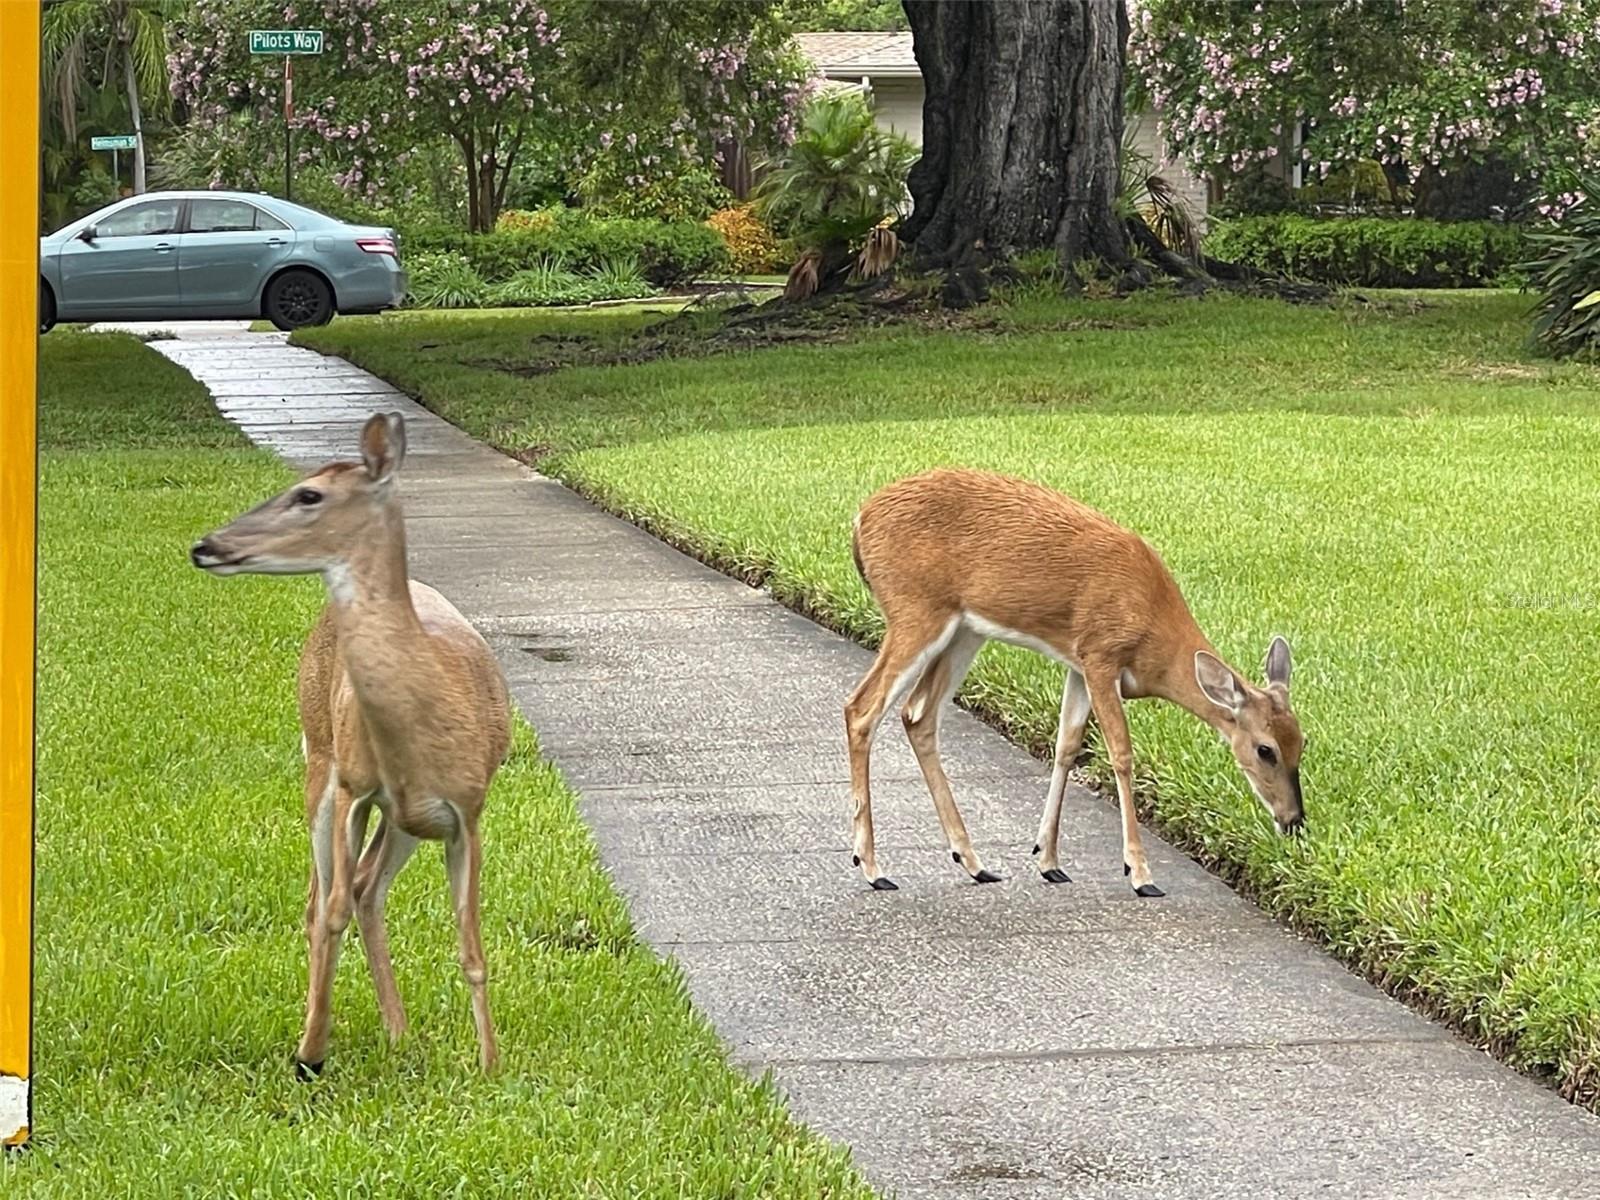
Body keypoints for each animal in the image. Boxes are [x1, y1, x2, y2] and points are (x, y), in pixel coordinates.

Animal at [189, 416, 508, 1081]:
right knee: (325, 898)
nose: (204, 546)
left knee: (366, 888)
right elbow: (330, 910)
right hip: (319, 757)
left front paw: (490, 1064)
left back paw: (400, 1034)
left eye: (308, 495)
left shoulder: (466, 809)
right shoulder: (355, 788)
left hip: (405, 819)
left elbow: (470, 945)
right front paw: (311, 1051)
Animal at [844, 470, 1305, 902]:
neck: (1153, 637)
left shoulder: (1078, 665)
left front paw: (1048, 860)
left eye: (1302, 743)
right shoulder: (1101, 654)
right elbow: (1120, 753)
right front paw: (1140, 873)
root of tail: (860, 519)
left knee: (918, 714)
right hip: (915, 609)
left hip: (964, 629)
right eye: (1265, 750)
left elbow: (1066, 745)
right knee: (862, 708)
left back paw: (974, 863)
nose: (1294, 821)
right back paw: (873, 868)